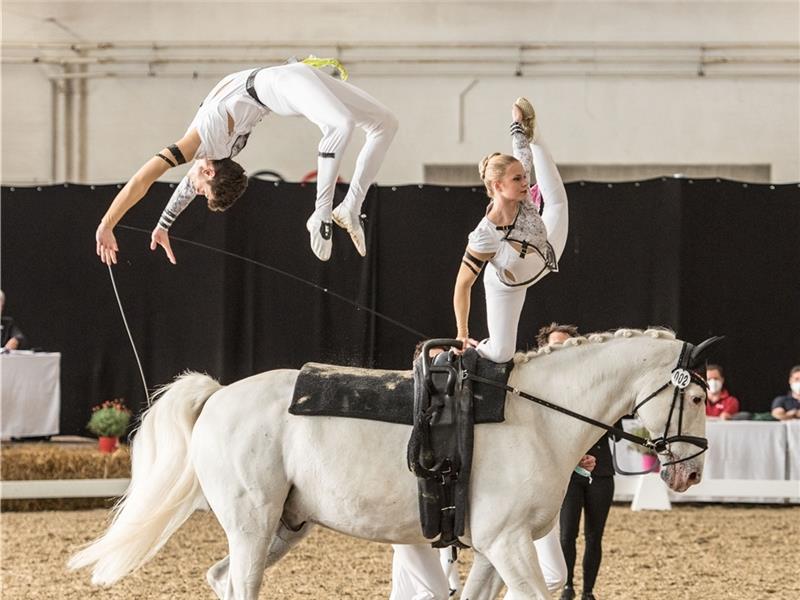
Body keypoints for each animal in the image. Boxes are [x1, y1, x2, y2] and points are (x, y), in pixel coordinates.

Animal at [69, 330, 708, 596]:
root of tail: (219, 395)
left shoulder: (498, 546)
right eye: (699, 398)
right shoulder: (507, 544)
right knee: (241, 583)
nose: (692, 471)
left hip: (284, 526)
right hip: (251, 524)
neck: (536, 415)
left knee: (223, 579)